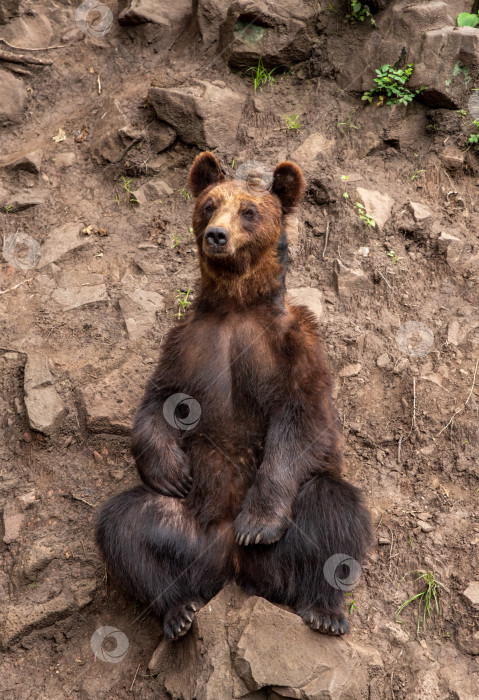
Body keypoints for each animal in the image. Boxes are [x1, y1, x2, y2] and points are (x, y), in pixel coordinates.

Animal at [95, 153, 374, 640]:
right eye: (209, 204)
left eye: (249, 211)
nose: (216, 235)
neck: (236, 305)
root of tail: (232, 566)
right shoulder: (186, 345)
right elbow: (158, 402)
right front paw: (169, 469)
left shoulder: (296, 345)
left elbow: (304, 420)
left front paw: (257, 524)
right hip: (189, 531)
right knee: (126, 525)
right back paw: (178, 609)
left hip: (284, 548)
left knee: (332, 508)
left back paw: (324, 609)